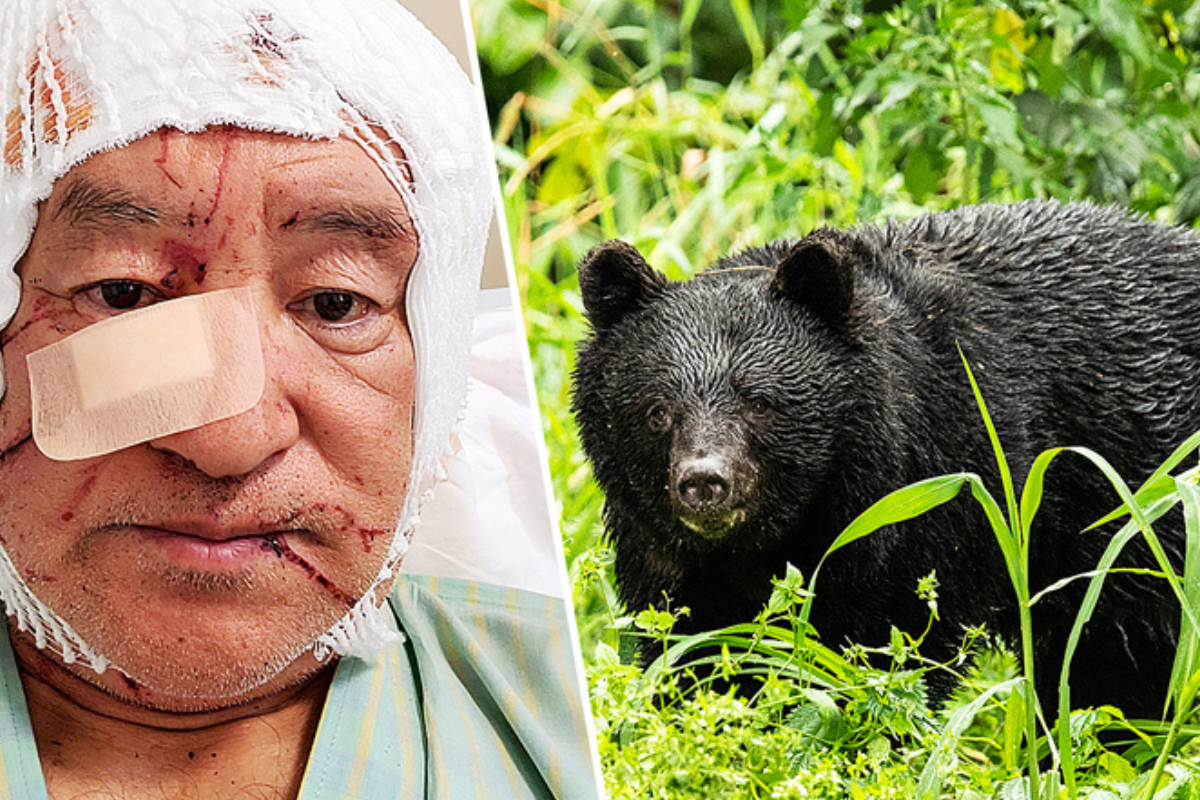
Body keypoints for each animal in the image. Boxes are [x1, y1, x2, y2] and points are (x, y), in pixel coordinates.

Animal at [571, 200, 1198, 720]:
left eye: (760, 402)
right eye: (658, 410)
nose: (704, 482)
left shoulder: (941, 504)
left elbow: (892, 657)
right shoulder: (672, 560)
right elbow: (695, 651)